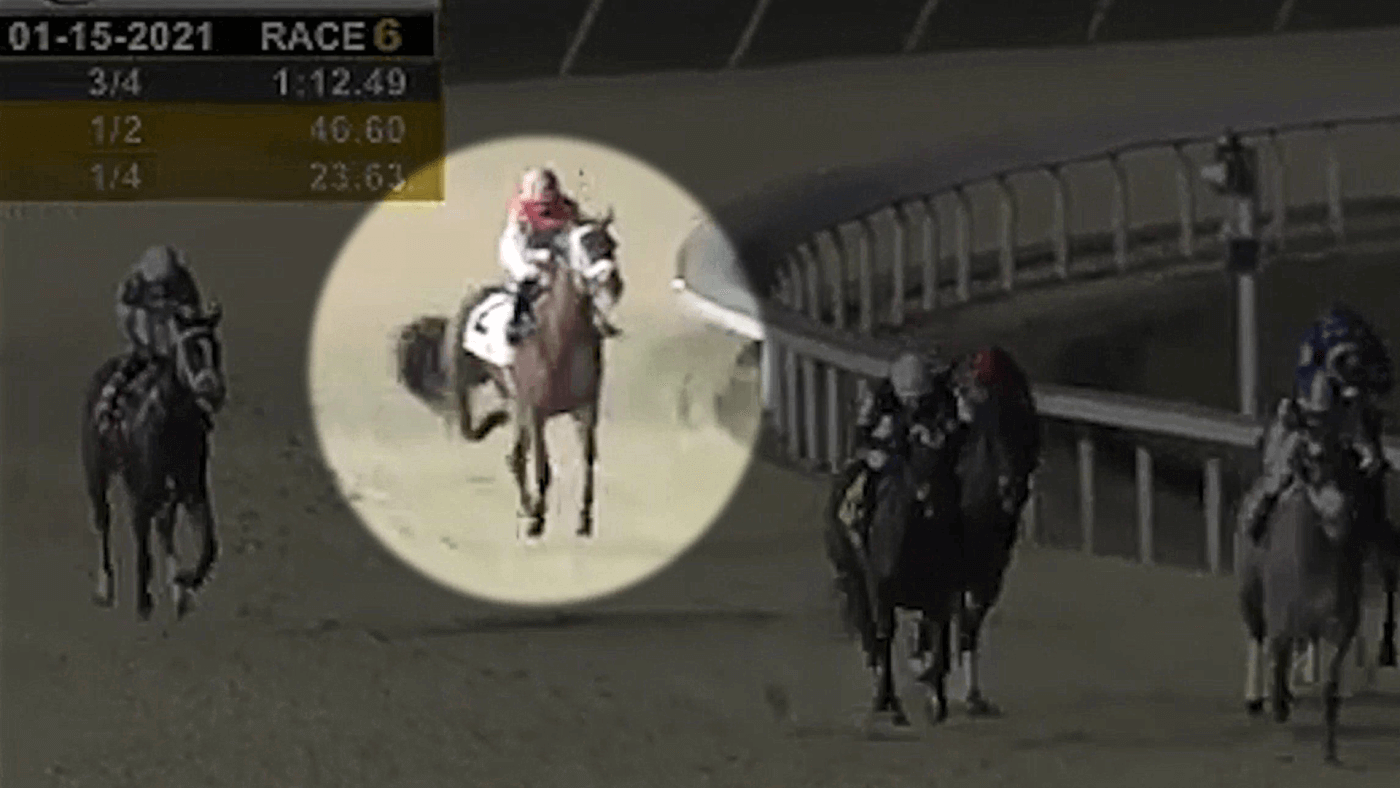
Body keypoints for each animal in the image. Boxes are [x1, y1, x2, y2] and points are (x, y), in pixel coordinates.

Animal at [81, 305, 226, 618]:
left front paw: (185, 582)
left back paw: (177, 591)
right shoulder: (142, 491)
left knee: (164, 526)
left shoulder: (192, 488)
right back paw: (105, 587)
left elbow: (209, 546)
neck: (170, 424)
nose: (213, 391)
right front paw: (143, 602)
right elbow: (142, 546)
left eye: (216, 348)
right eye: (191, 349)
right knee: (104, 521)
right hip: (96, 474)